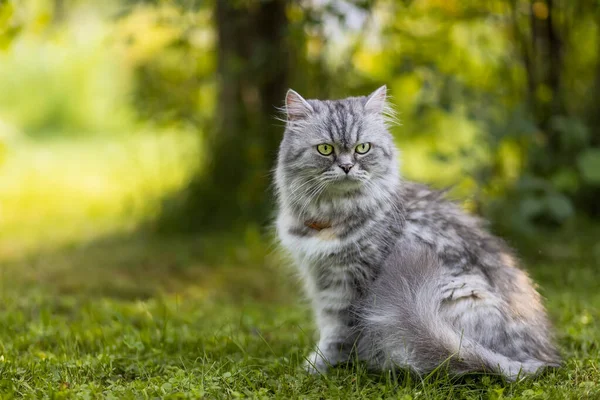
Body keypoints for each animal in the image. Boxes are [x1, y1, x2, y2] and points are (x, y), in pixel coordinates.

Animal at [274, 86, 560, 380]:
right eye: (325, 149)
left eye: (362, 148)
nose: (346, 167)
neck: (333, 214)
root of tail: (537, 358)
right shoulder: (319, 278)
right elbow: (328, 325)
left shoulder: (349, 283)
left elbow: (337, 333)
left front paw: (320, 366)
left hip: (455, 295)